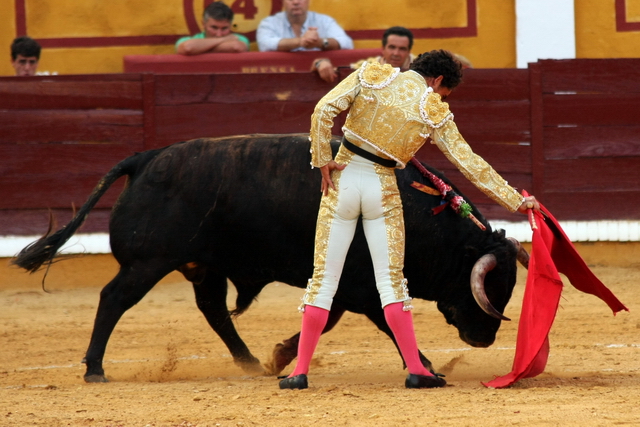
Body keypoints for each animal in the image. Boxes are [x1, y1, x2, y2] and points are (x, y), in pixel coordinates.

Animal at [15, 132, 528, 382]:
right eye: (487, 286)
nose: (484, 339)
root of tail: (146, 158)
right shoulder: (361, 284)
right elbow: (381, 320)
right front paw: (426, 366)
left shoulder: (346, 285)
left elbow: (331, 317)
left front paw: (280, 356)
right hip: (147, 263)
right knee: (113, 300)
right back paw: (95, 369)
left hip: (203, 268)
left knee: (214, 311)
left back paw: (249, 364)